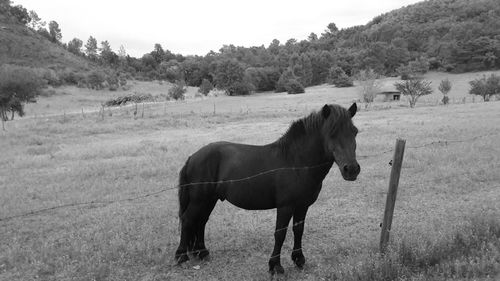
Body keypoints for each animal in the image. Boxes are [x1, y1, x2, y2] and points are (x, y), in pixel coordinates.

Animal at [174, 101, 358, 272]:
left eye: (354, 131)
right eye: (332, 133)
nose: (352, 169)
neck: (296, 162)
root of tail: (192, 157)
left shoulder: (303, 205)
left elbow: (298, 230)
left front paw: (298, 259)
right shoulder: (285, 206)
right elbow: (280, 233)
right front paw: (275, 266)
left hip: (208, 200)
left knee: (201, 221)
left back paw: (202, 253)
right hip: (200, 200)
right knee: (188, 220)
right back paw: (181, 256)